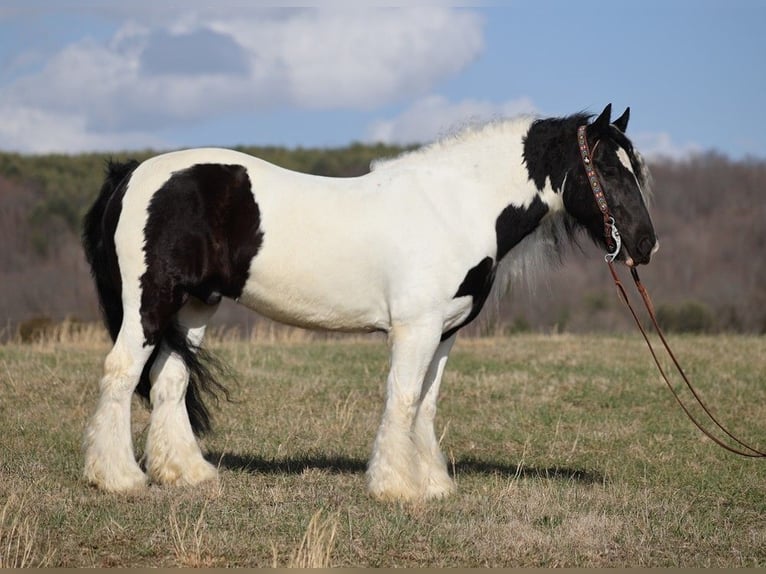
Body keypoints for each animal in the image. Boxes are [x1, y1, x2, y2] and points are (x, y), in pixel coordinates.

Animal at [82, 104, 660, 504]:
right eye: (607, 169)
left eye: (636, 168)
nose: (645, 244)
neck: (455, 206)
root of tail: (132, 173)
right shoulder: (415, 328)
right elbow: (401, 400)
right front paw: (396, 487)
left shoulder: (444, 333)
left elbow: (425, 403)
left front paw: (432, 484)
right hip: (150, 302)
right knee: (120, 372)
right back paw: (117, 478)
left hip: (194, 307)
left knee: (169, 380)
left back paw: (186, 474)